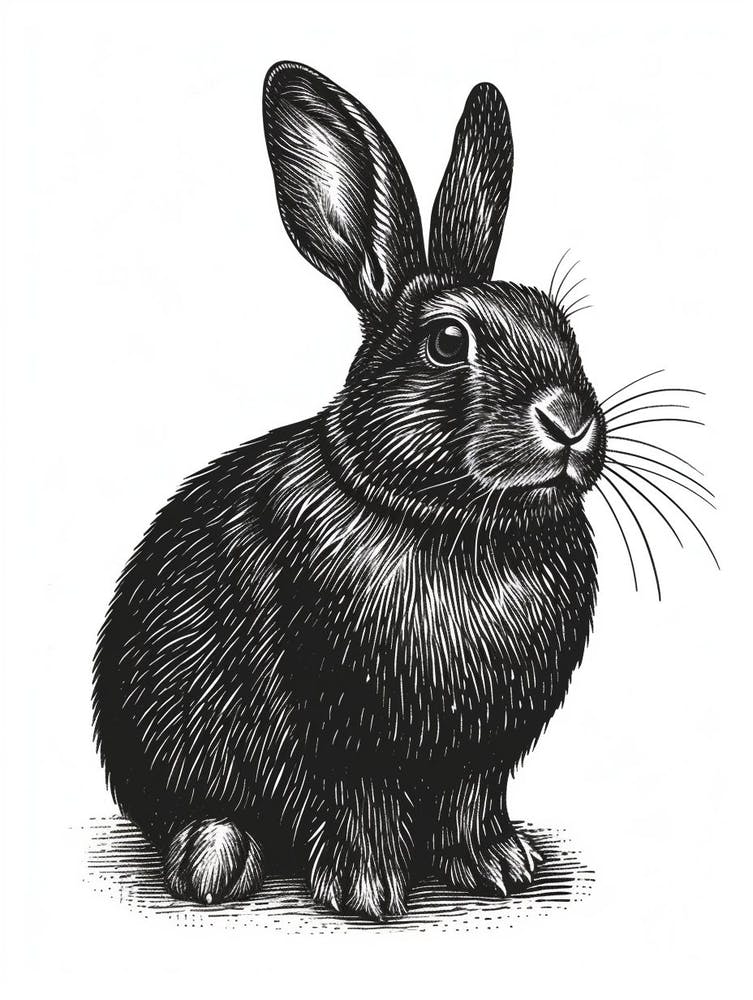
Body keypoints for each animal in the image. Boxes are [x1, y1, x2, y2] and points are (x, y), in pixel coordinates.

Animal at [93, 60, 606, 920]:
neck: (452, 521)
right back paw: (214, 861)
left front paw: (496, 866)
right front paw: (367, 894)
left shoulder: (482, 754)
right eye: (446, 341)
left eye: (559, 323)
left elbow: (471, 799)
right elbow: (361, 802)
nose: (568, 420)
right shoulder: (346, 732)